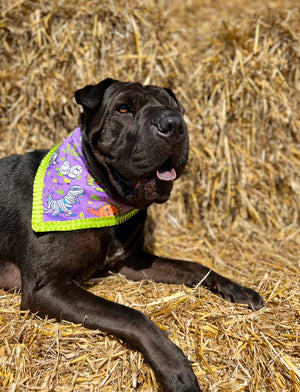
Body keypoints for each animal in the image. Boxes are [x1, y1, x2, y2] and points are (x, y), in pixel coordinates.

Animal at [0, 79, 262, 392]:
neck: (105, 194)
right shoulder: (46, 286)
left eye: (174, 108)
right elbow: (130, 315)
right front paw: (175, 366)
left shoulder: (128, 261)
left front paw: (238, 289)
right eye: (123, 109)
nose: (173, 124)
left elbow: (194, 267)